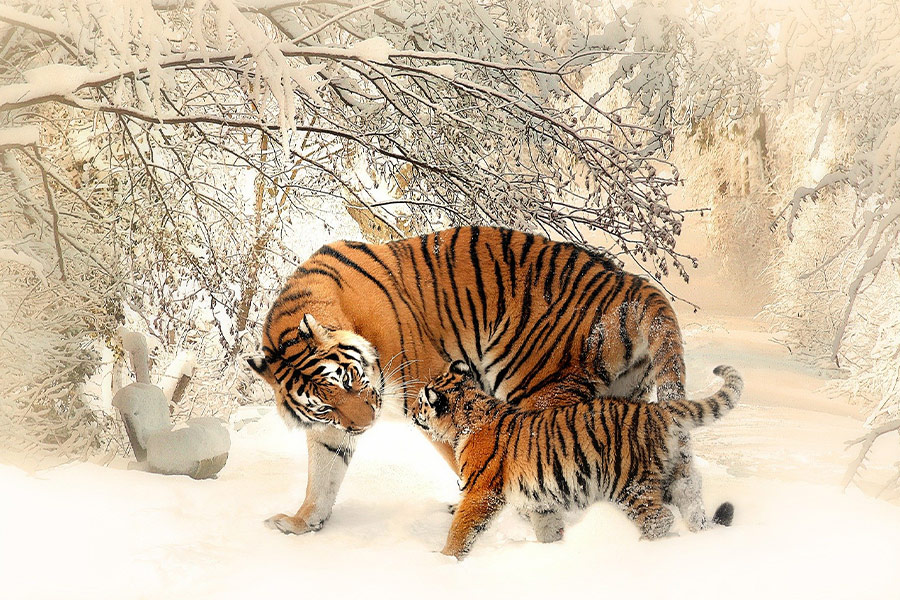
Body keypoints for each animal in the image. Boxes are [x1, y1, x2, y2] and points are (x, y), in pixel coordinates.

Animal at [248, 226, 688, 538]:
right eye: (325, 405)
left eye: (351, 380)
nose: (365, 425)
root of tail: (632, 283)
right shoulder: (330, 428)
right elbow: (323, 475)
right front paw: (302, 522)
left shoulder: (428, 389)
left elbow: (463, 456)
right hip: (621, 397)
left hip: (536, 386)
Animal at [411, 361, 742, 559]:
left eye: (421, 402)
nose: (412, 412)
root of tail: (657, 409)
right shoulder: (540, 500)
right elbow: (548, 527)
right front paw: (553, 551)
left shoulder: (480, 492)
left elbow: (461, 529)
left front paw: (444, 560)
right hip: (675, 476)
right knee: (692, 504)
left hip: (630, 484)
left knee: (659, 519)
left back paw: (642, 549)